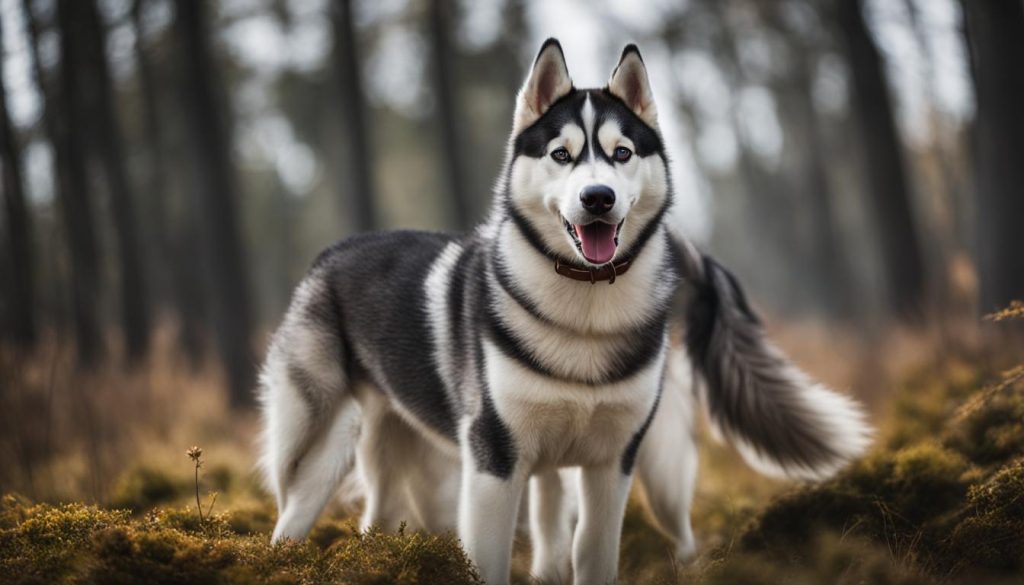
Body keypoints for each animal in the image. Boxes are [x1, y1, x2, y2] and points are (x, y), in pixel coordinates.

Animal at [258, 38, 872, 581]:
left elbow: (592, 555)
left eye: (622, 153)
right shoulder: (494, 462)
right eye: (561, 155)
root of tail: (331, 253)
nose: (598, 197)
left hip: (654, 462)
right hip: (322, 441)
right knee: (298, 511)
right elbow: (488, 562)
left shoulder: (611, 463)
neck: (586, 306)